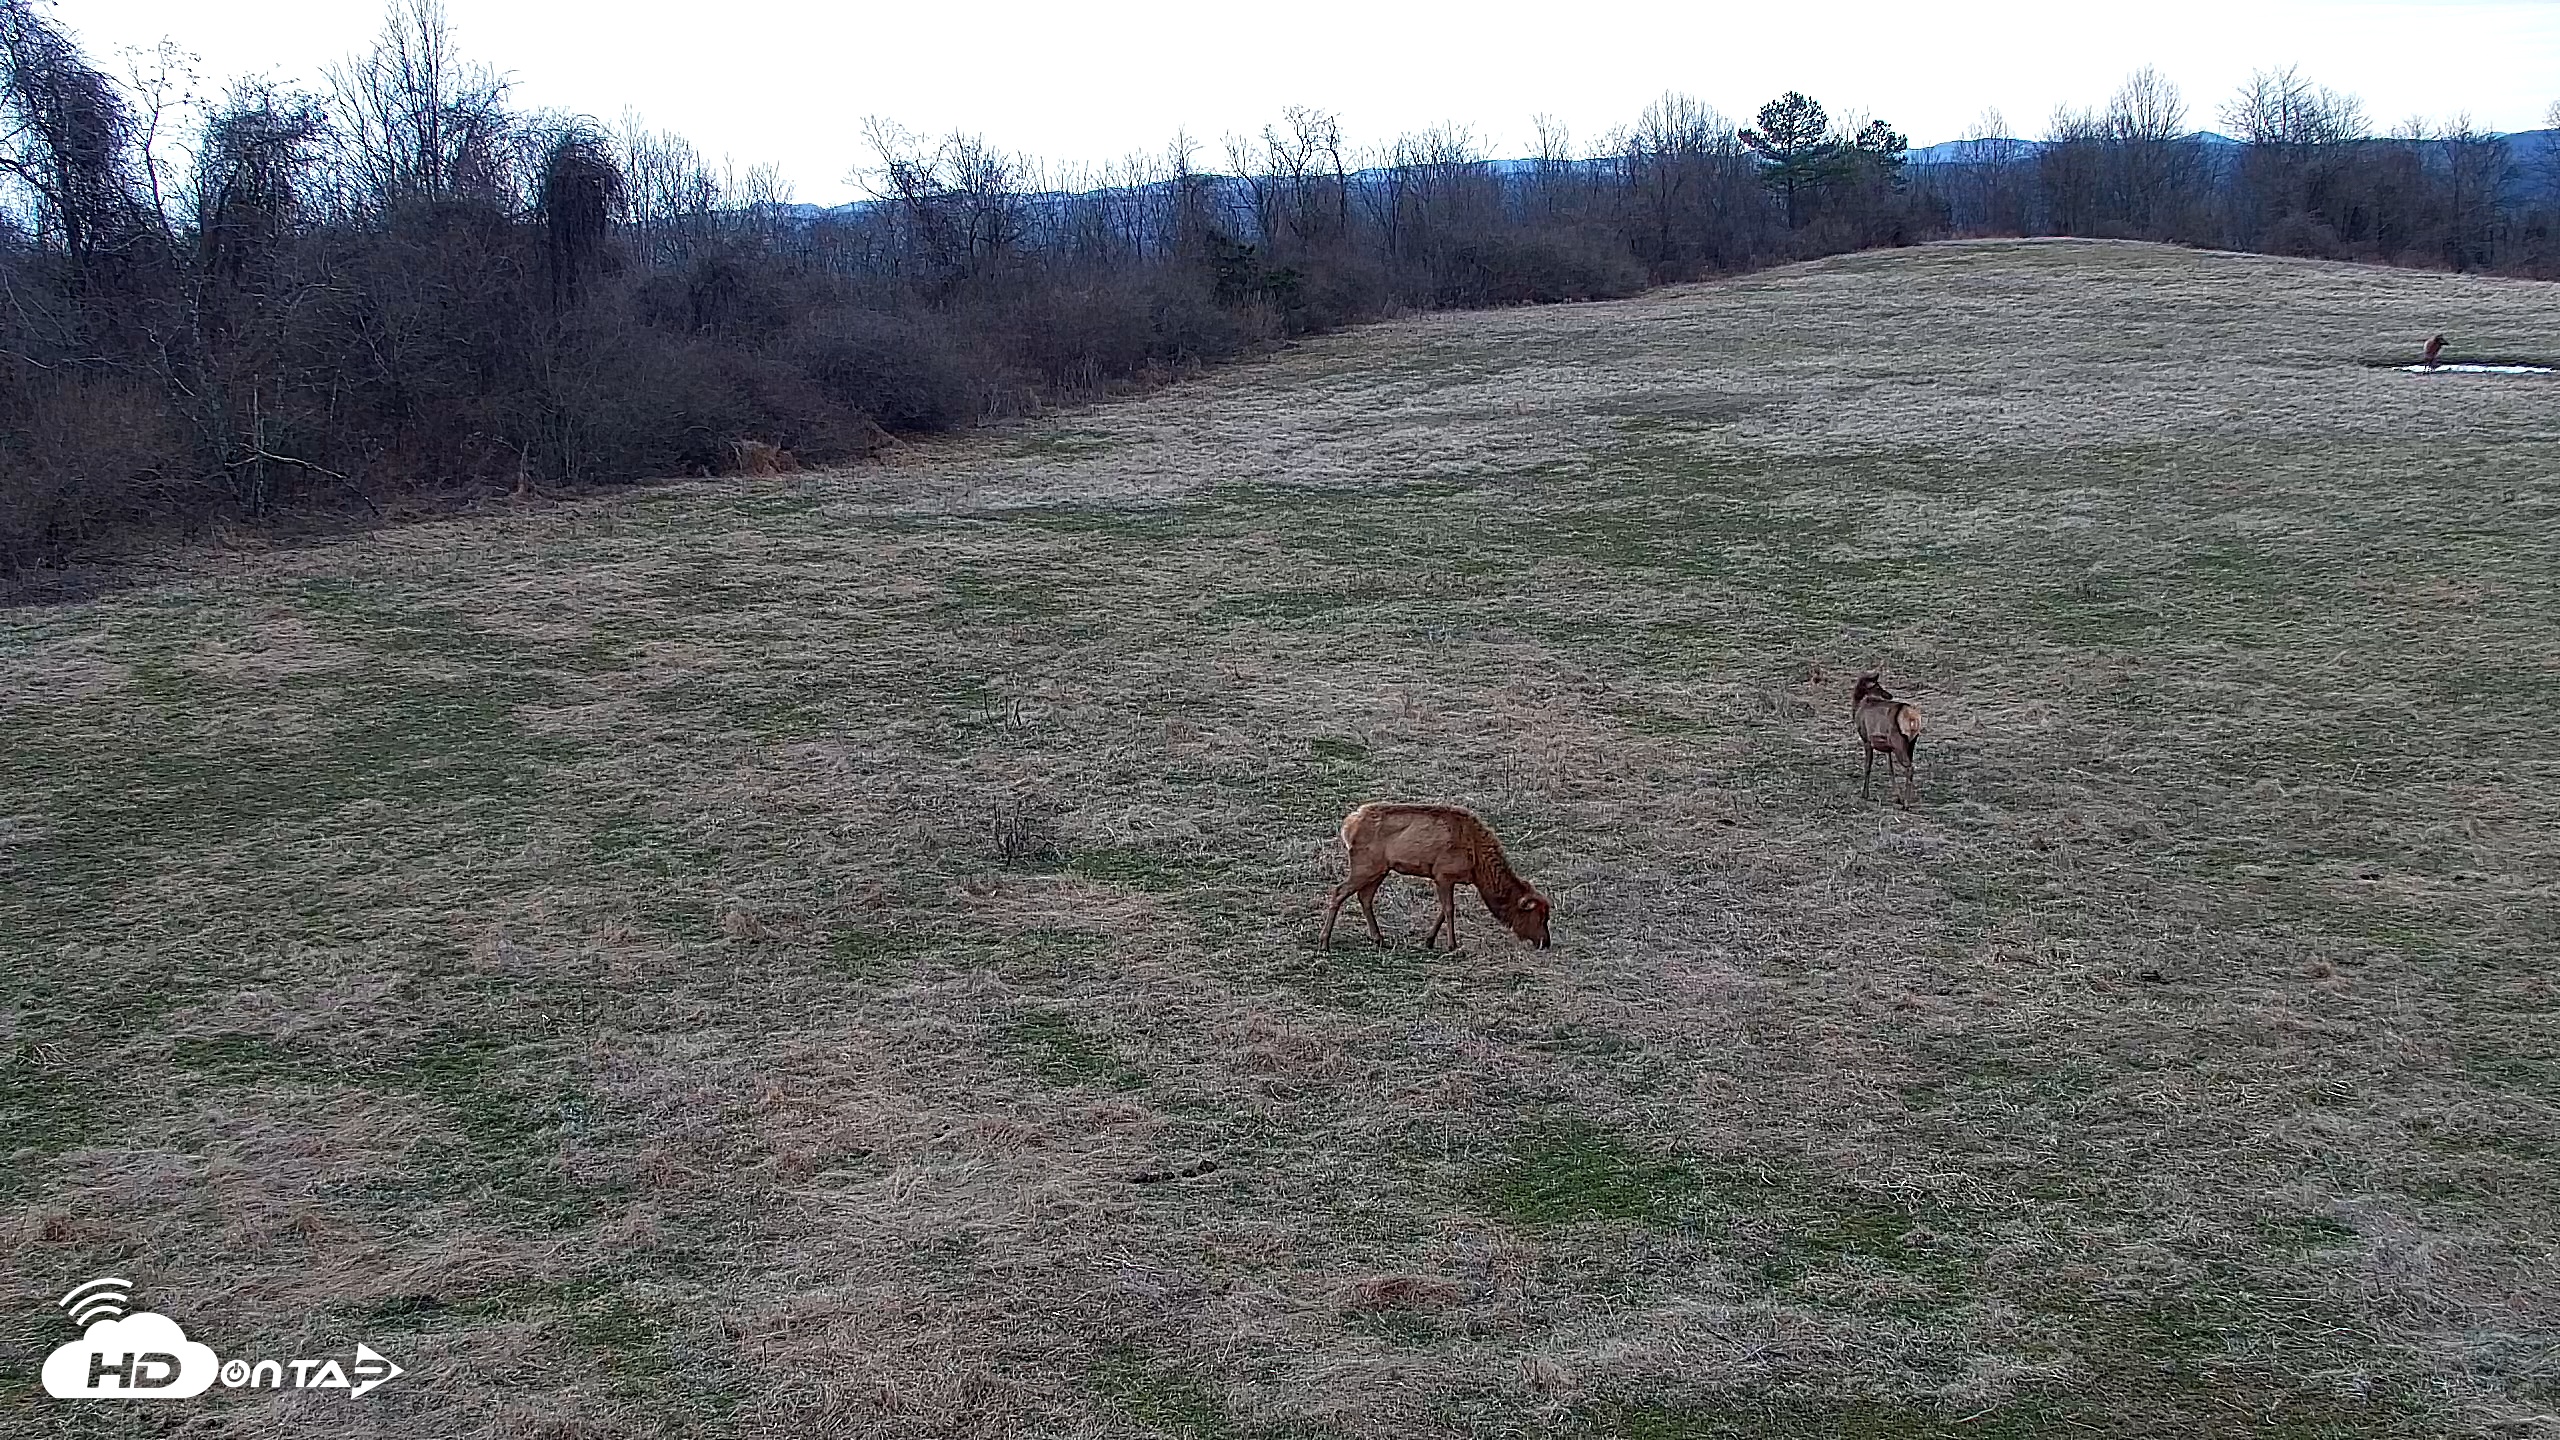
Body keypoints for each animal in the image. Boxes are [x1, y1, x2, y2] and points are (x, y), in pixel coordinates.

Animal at [1319, 802, 1552, 952]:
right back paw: (1324, 942)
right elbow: (1449, 909)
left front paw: (1429, 940)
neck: (1477, 863)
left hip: (1380, 870)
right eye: (1540, 917)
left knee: (1364, 897)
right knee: (1338, 891)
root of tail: (1348, 826)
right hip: (1365, 866)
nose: (1545, 943)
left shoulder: (1445, 878)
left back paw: (1379, 938)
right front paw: (1452, 945)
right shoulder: (1443, 874)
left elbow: (1442, 909)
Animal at [1851, 672, 1925, 808]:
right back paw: (1908, 799)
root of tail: (1912, 718)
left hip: (1898, 742)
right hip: (1911, 743)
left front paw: (1865, 794)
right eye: (1878, 686)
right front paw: (1897, 797)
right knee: (1910, 766)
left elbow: (1867, 766)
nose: (1889, 695)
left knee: (1909, 768)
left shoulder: (1866, 739)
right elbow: (1890, 769)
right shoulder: (1888, 748)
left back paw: (1906, 804)